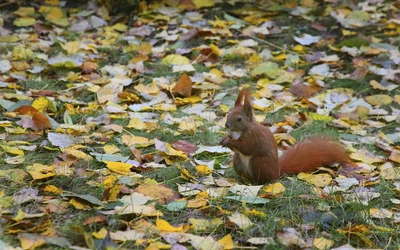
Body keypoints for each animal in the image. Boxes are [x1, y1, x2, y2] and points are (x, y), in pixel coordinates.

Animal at [220, 88, 348, 184]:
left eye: (239, 119)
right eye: (229, 113)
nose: (227, 125)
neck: (240, 131)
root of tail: (276, 172)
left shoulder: (254, 137)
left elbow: (247, 147)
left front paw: (230, 141)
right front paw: (223, 139)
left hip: (259, 163)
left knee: (264, 179)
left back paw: (256, 182)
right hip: (237, 161)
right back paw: (243, 179)